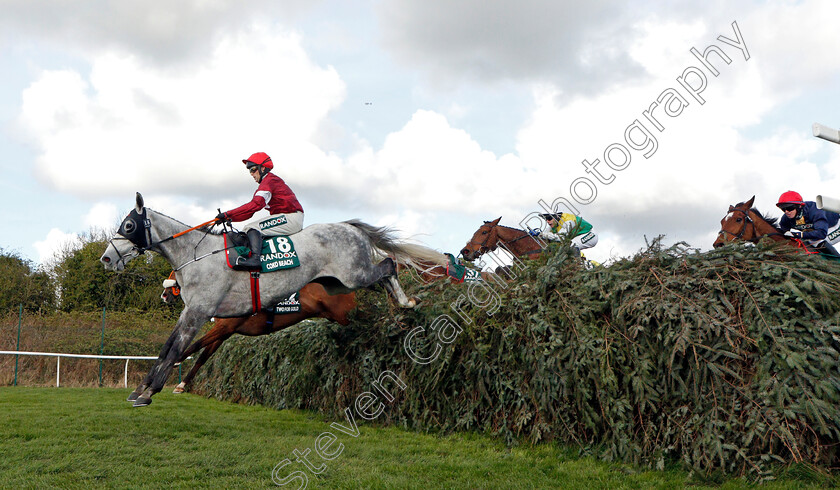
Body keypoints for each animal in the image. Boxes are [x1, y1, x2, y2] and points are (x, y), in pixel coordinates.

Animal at [101, 193, 450, 408]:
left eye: (128, 225)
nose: (106, 258)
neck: (197, 255)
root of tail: (349, 227)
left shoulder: (201, 314)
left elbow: (177, 350)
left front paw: (150, 392)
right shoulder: (195, 314)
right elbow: (169, 348)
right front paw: (141, 389)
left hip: (355, 274)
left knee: (390, 264)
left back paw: (405, 304)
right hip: (338, 284)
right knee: (382, 279)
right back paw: (397, 308)